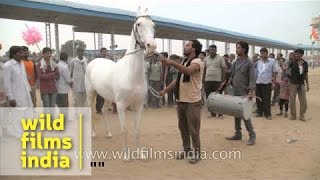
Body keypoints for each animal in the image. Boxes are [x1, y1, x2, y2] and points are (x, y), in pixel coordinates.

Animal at [84, 7, 156, 159]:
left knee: (103, 110)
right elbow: (125, 130)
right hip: (91, 93)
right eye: (139, 24)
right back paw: (93, 134)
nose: (151, 46)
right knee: (92, 111)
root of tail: (94, 61)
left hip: (107, 97)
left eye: (153, 25)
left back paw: (109, 133)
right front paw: (126, 156)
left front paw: (140, 154)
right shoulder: (121, 105)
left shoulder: (139, 105)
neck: (131, 74)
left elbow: (137, 130)